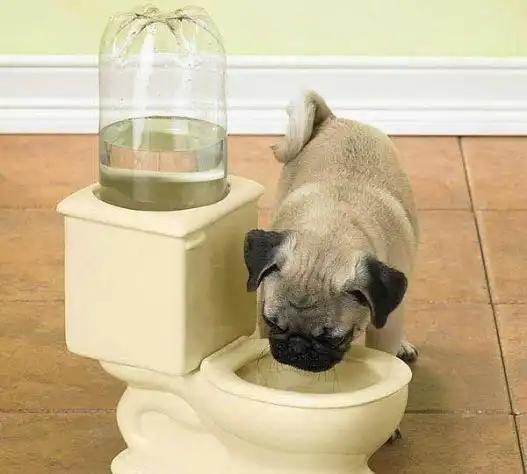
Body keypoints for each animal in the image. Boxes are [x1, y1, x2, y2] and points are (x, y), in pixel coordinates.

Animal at [243, 91, 419, 438]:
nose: (297, 347)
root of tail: (334, 119)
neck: (330, 234)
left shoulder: (387, 321)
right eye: (273, 324)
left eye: (332, 338)